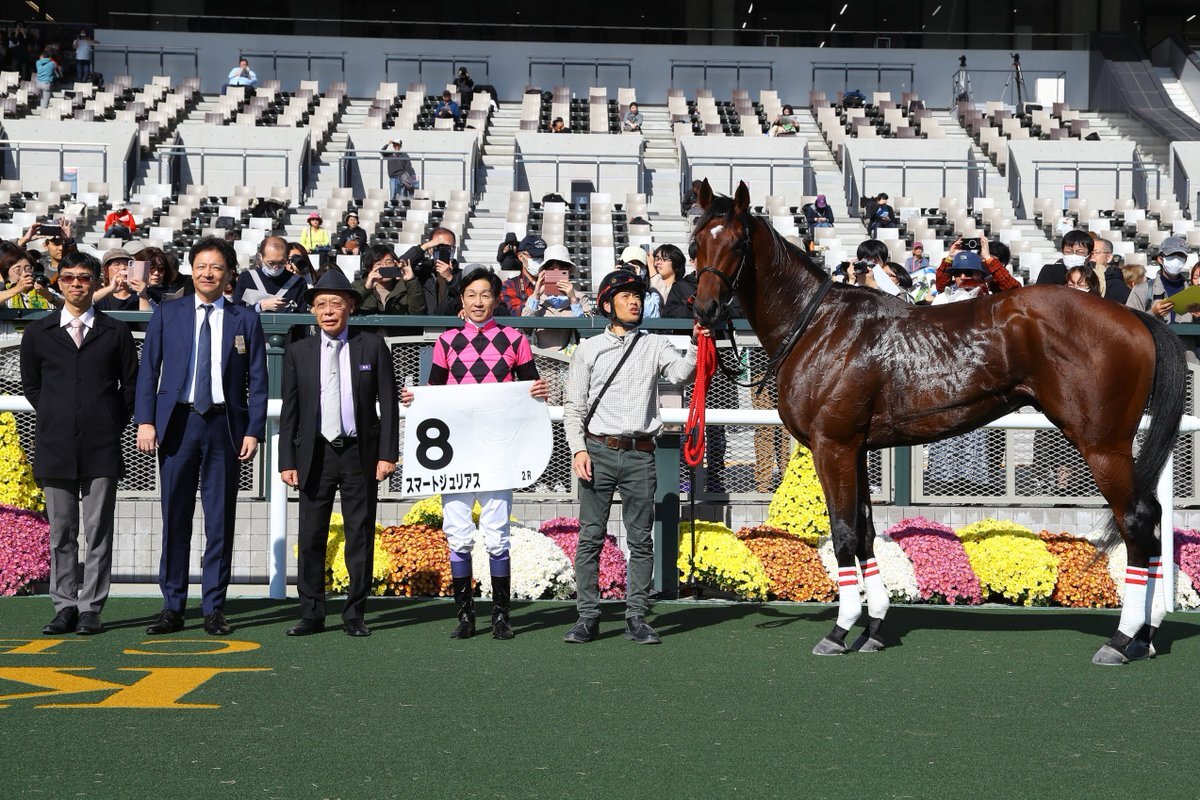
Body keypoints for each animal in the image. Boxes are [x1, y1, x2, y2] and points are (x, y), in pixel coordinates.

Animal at [690, 179, 1187, 665]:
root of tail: (1133, 316)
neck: (821, 327)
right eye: (696, 241)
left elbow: (846, 534)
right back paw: (1145, 636)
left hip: (1102, 446)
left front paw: (840, 630)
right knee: (1153, 520)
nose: (705, 311)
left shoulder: (833, 445)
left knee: (1137, 522)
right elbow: (866, 534)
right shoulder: (857, 449)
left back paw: (1122, 639)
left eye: (737, 242)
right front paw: (873, 628)